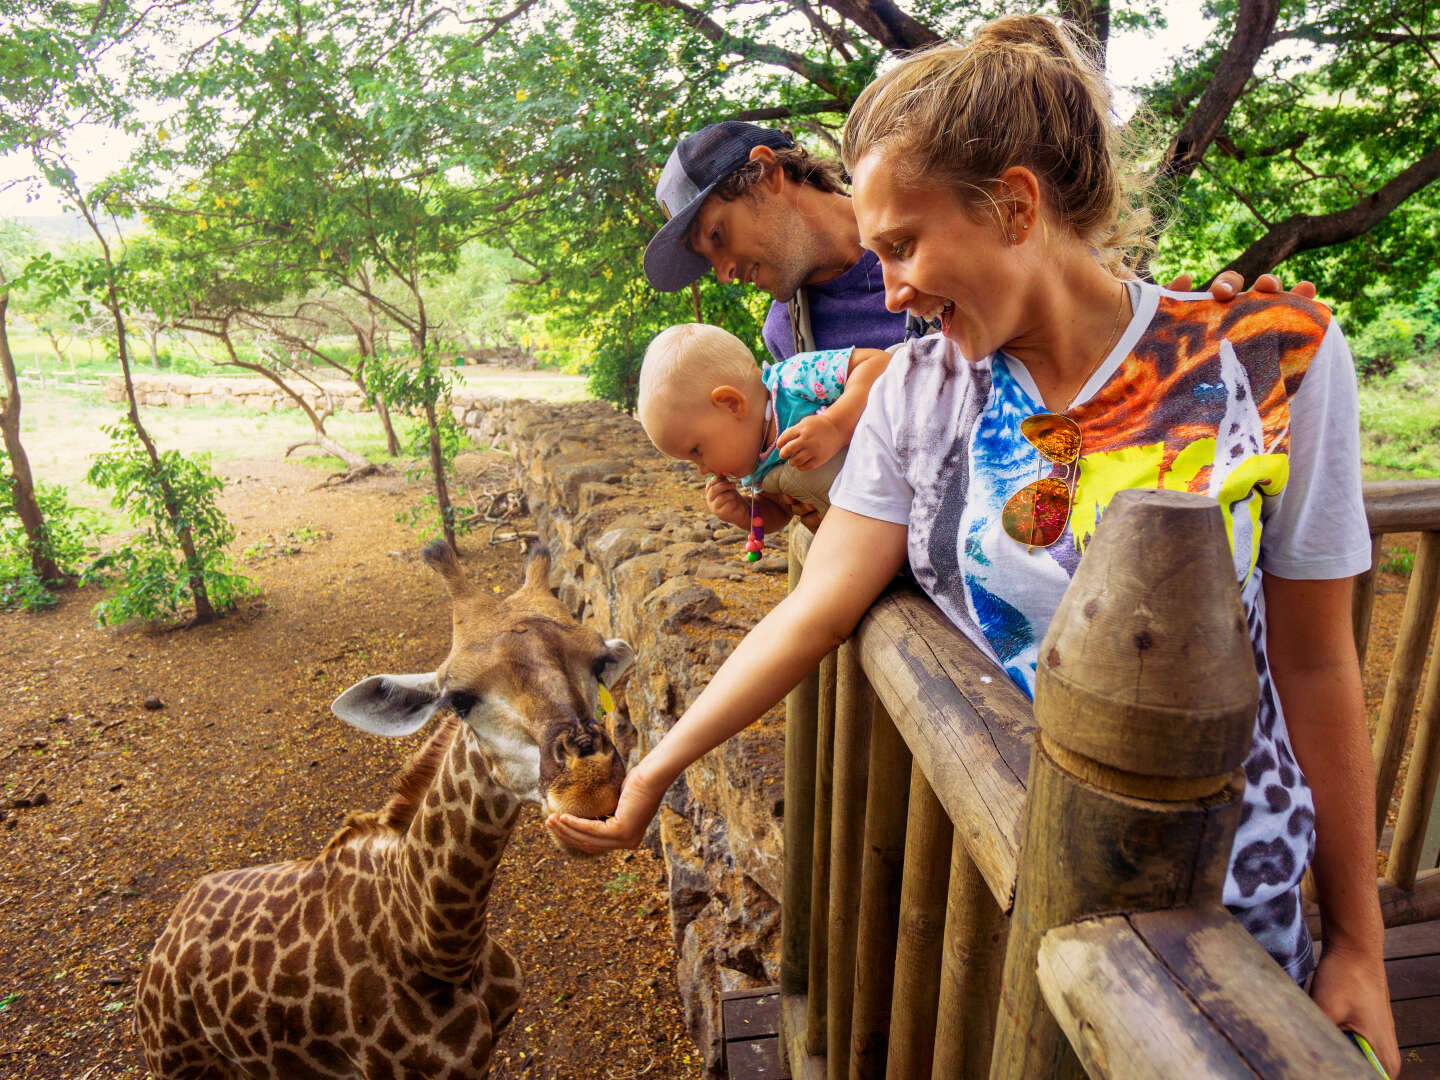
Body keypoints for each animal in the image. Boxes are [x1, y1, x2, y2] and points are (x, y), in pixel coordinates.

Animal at [131, 541, 636, 1080]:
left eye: (599, 665)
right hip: (180, 1065)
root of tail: (160, 949)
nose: (591, 789)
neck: (440, 948)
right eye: (459, 700)